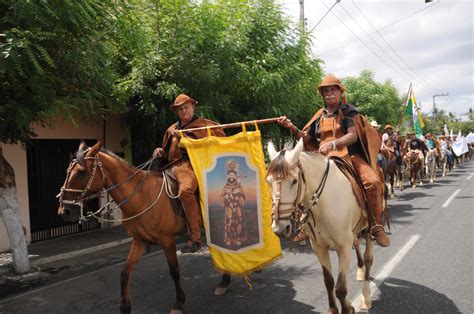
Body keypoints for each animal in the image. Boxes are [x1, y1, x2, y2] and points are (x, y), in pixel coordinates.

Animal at [56, 141, 231, 312]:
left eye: (82, 172)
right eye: (67, 171)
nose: (65, 211)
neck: (142, 196)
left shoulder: (167, 240)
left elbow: (174, 271)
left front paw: (179, 303)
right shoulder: (140, 241)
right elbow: (125, 273)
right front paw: (125, 307)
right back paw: (224, 281)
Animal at [266, 140, 374, 314]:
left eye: (294, 181)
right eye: (268, 181)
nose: (280, 229)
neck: (322, 203)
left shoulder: (343, 247)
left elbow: (340, 289)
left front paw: (349, 308)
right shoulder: (319, 247)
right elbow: (329, 281)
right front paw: (332, 309)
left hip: (371, 227)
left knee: (369, 258)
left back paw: (365, 297)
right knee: (358, 245)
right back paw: (360, 271)